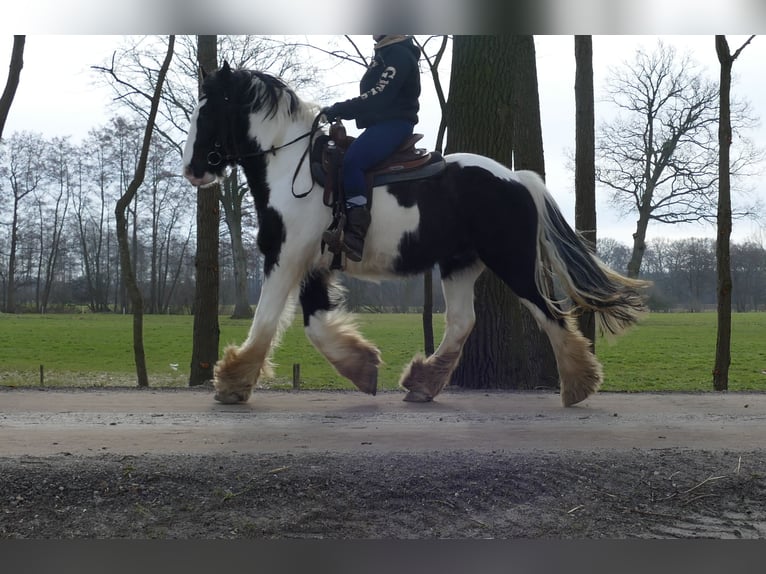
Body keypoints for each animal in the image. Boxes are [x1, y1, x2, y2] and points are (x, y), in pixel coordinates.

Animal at [182, 63, 649, 407]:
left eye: (207, 111)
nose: (193, 168)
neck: (291, 167)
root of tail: (517, 178)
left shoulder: (286, 257)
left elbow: (265, 319)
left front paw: (231, 384)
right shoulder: (313, 264)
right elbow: (315, 325)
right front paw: (363, 367)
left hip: (511, 262)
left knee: (551, 314)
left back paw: (577, 387)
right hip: (459, 264)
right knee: (462, 322)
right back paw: (423, 383)